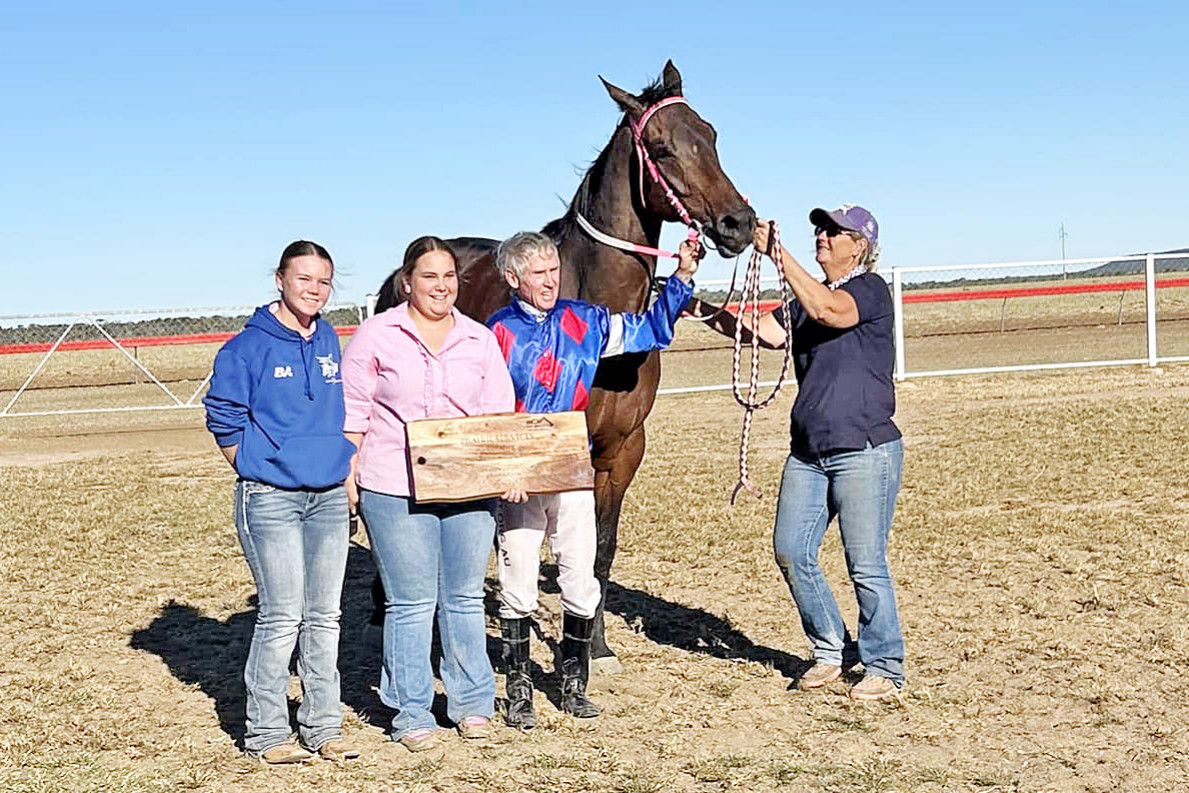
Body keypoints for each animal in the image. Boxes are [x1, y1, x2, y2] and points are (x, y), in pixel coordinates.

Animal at [375, 60, 756, 670]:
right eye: (661, 147)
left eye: (711, 134)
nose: (738, 223)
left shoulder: (621, 450)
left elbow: (598, 551)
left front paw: (594, 647)